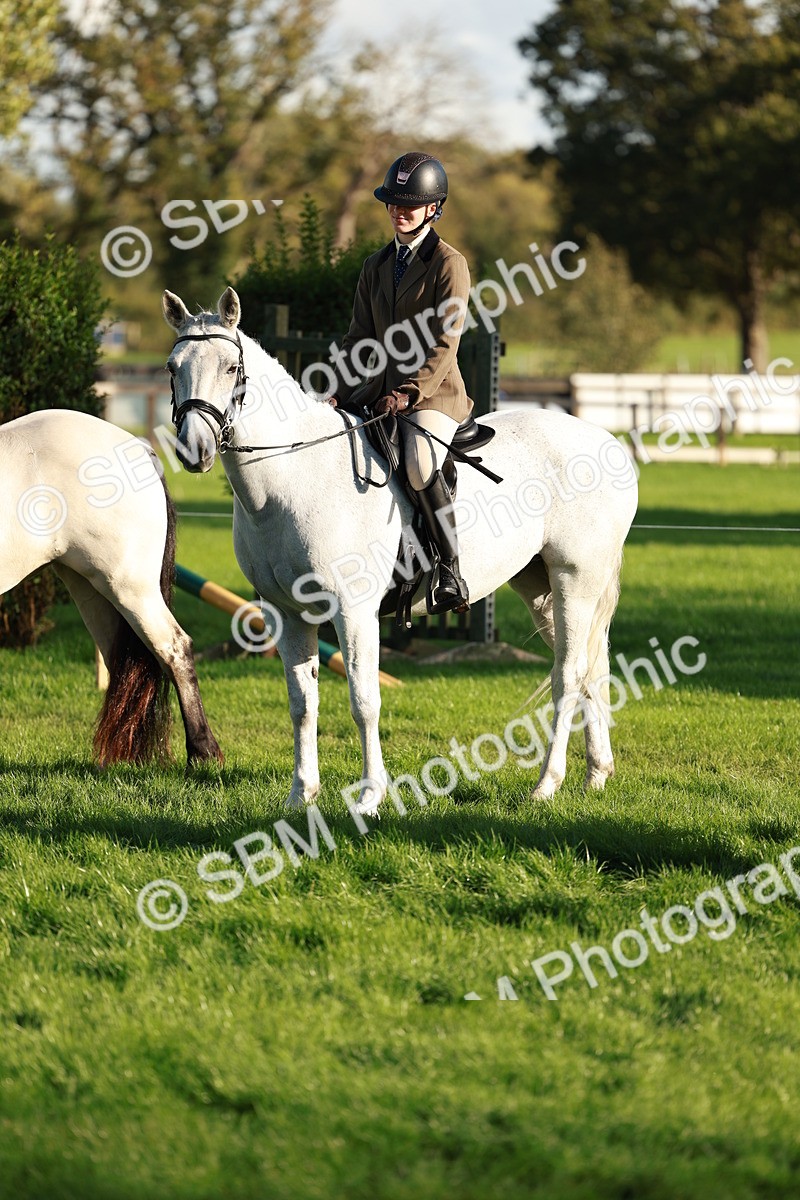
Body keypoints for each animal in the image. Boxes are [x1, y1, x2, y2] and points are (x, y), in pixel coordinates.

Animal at [164, 286, 638, 813]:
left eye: (231, 368)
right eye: (172, 367)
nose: (194, 449)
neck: (292, 478)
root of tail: (606, 441)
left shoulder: (353, 611)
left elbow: (364, 701)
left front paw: (371, 795)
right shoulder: (286, 612)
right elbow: (302, 703)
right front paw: (301, 795)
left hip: (576, 580)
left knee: (568, 676)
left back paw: (547, 785)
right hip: (539, 586)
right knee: (590, 670)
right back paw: (597, 774)